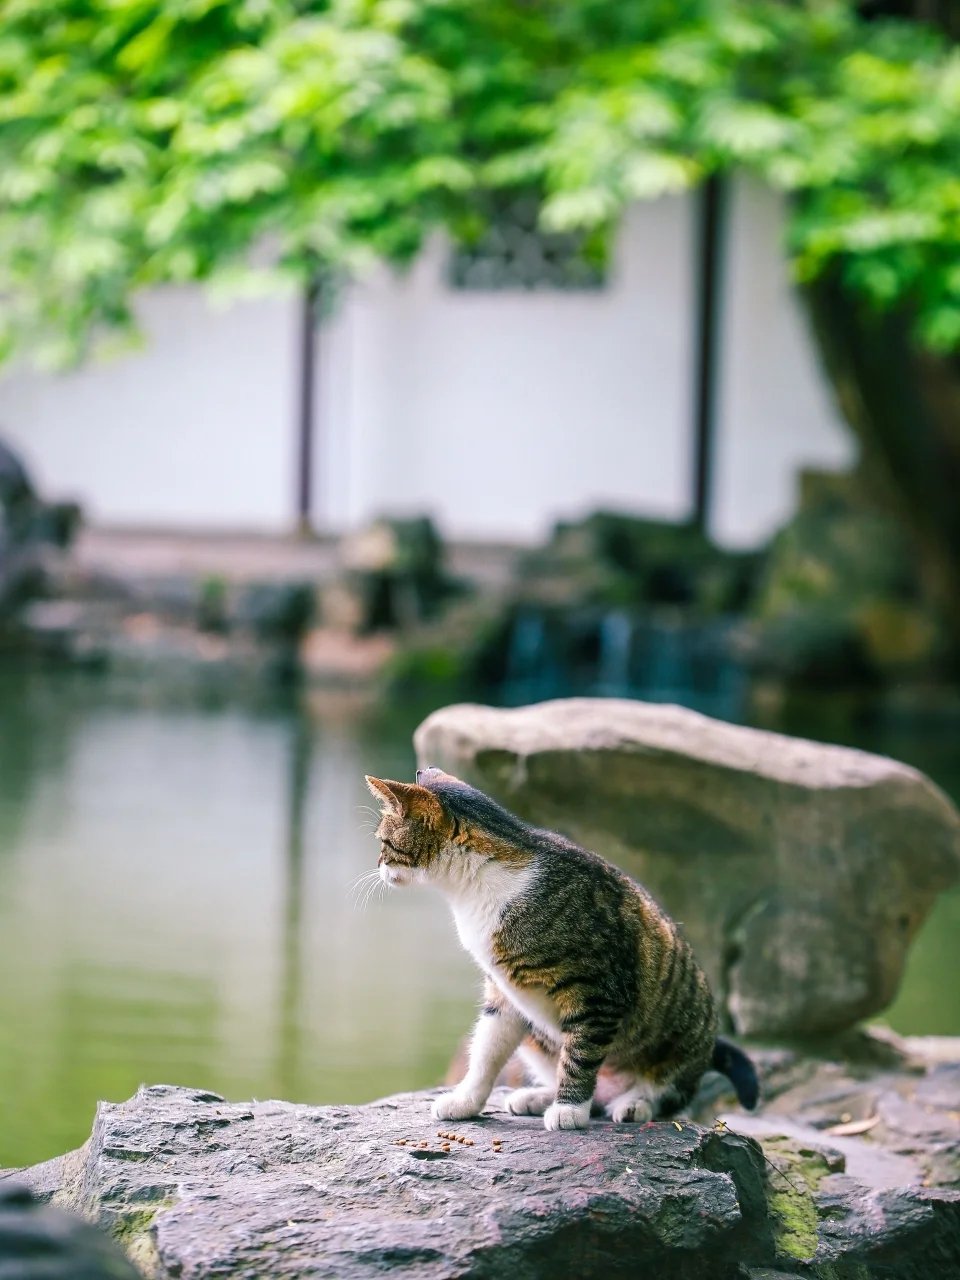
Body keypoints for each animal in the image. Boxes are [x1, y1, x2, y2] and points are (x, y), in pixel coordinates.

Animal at [368, 757, 757, 1131]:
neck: (476, 886)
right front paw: (465, 1101)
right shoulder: (503, 991)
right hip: (536, 1038)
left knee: (666, 1093)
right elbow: (486, 1050)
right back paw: (539, 1096)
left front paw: (569, 1109)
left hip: (680, 1045)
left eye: (384, 843)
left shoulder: (598, 992)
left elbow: (580, 1056)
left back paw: (632, 1103)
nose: (378, 866)